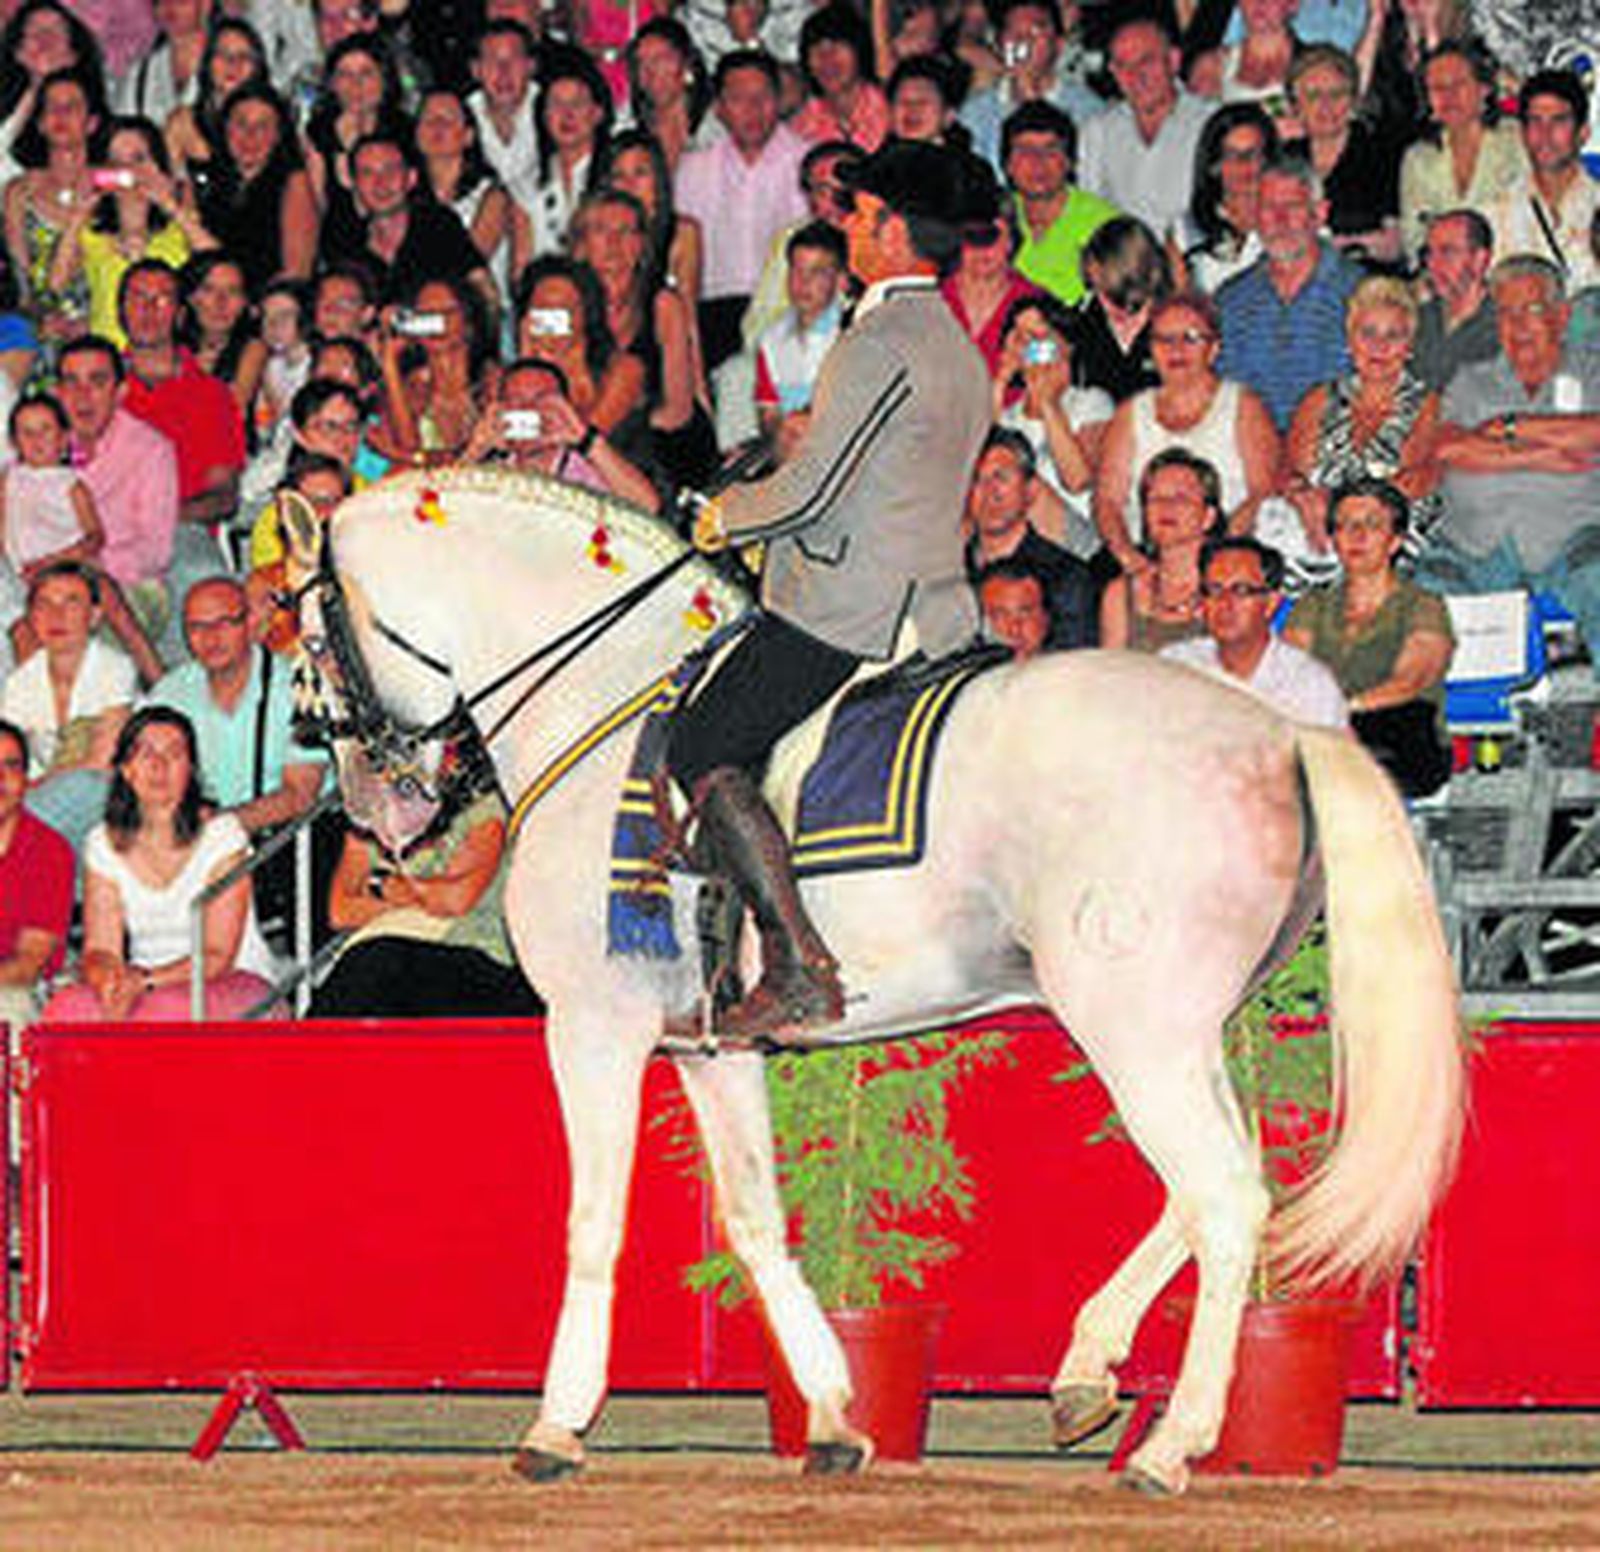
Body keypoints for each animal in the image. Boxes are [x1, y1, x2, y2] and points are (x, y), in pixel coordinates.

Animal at [281, 465, 1464, 1496]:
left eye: (312, 638)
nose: (377, 812)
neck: (601, 697)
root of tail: (1281, 732)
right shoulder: (712, 1047)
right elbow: (756, 1221)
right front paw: (836, 1417)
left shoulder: (594, 1026)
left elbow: (593, 1221)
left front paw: (556, 1425)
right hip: (1179, 1027)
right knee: (1230, 1185)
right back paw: (1086, 1373)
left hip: (1132, 1027)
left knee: (1221, 1193)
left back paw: (1170, 1445)